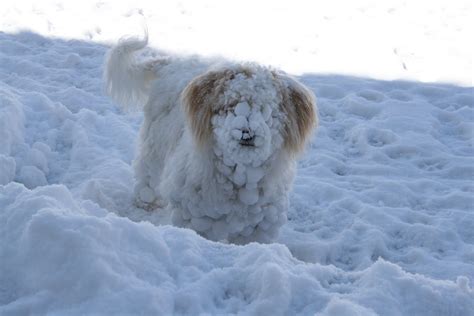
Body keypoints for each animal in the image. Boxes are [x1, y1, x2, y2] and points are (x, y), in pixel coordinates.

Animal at [103, 35, 318, 244]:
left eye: (267, 109)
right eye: (230, 105)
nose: (246, 132)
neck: (240, 177)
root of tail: (170, 62)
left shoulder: (260, 226)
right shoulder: (193, 215)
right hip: (155, 143)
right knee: (147, 176)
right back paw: (145, 204)